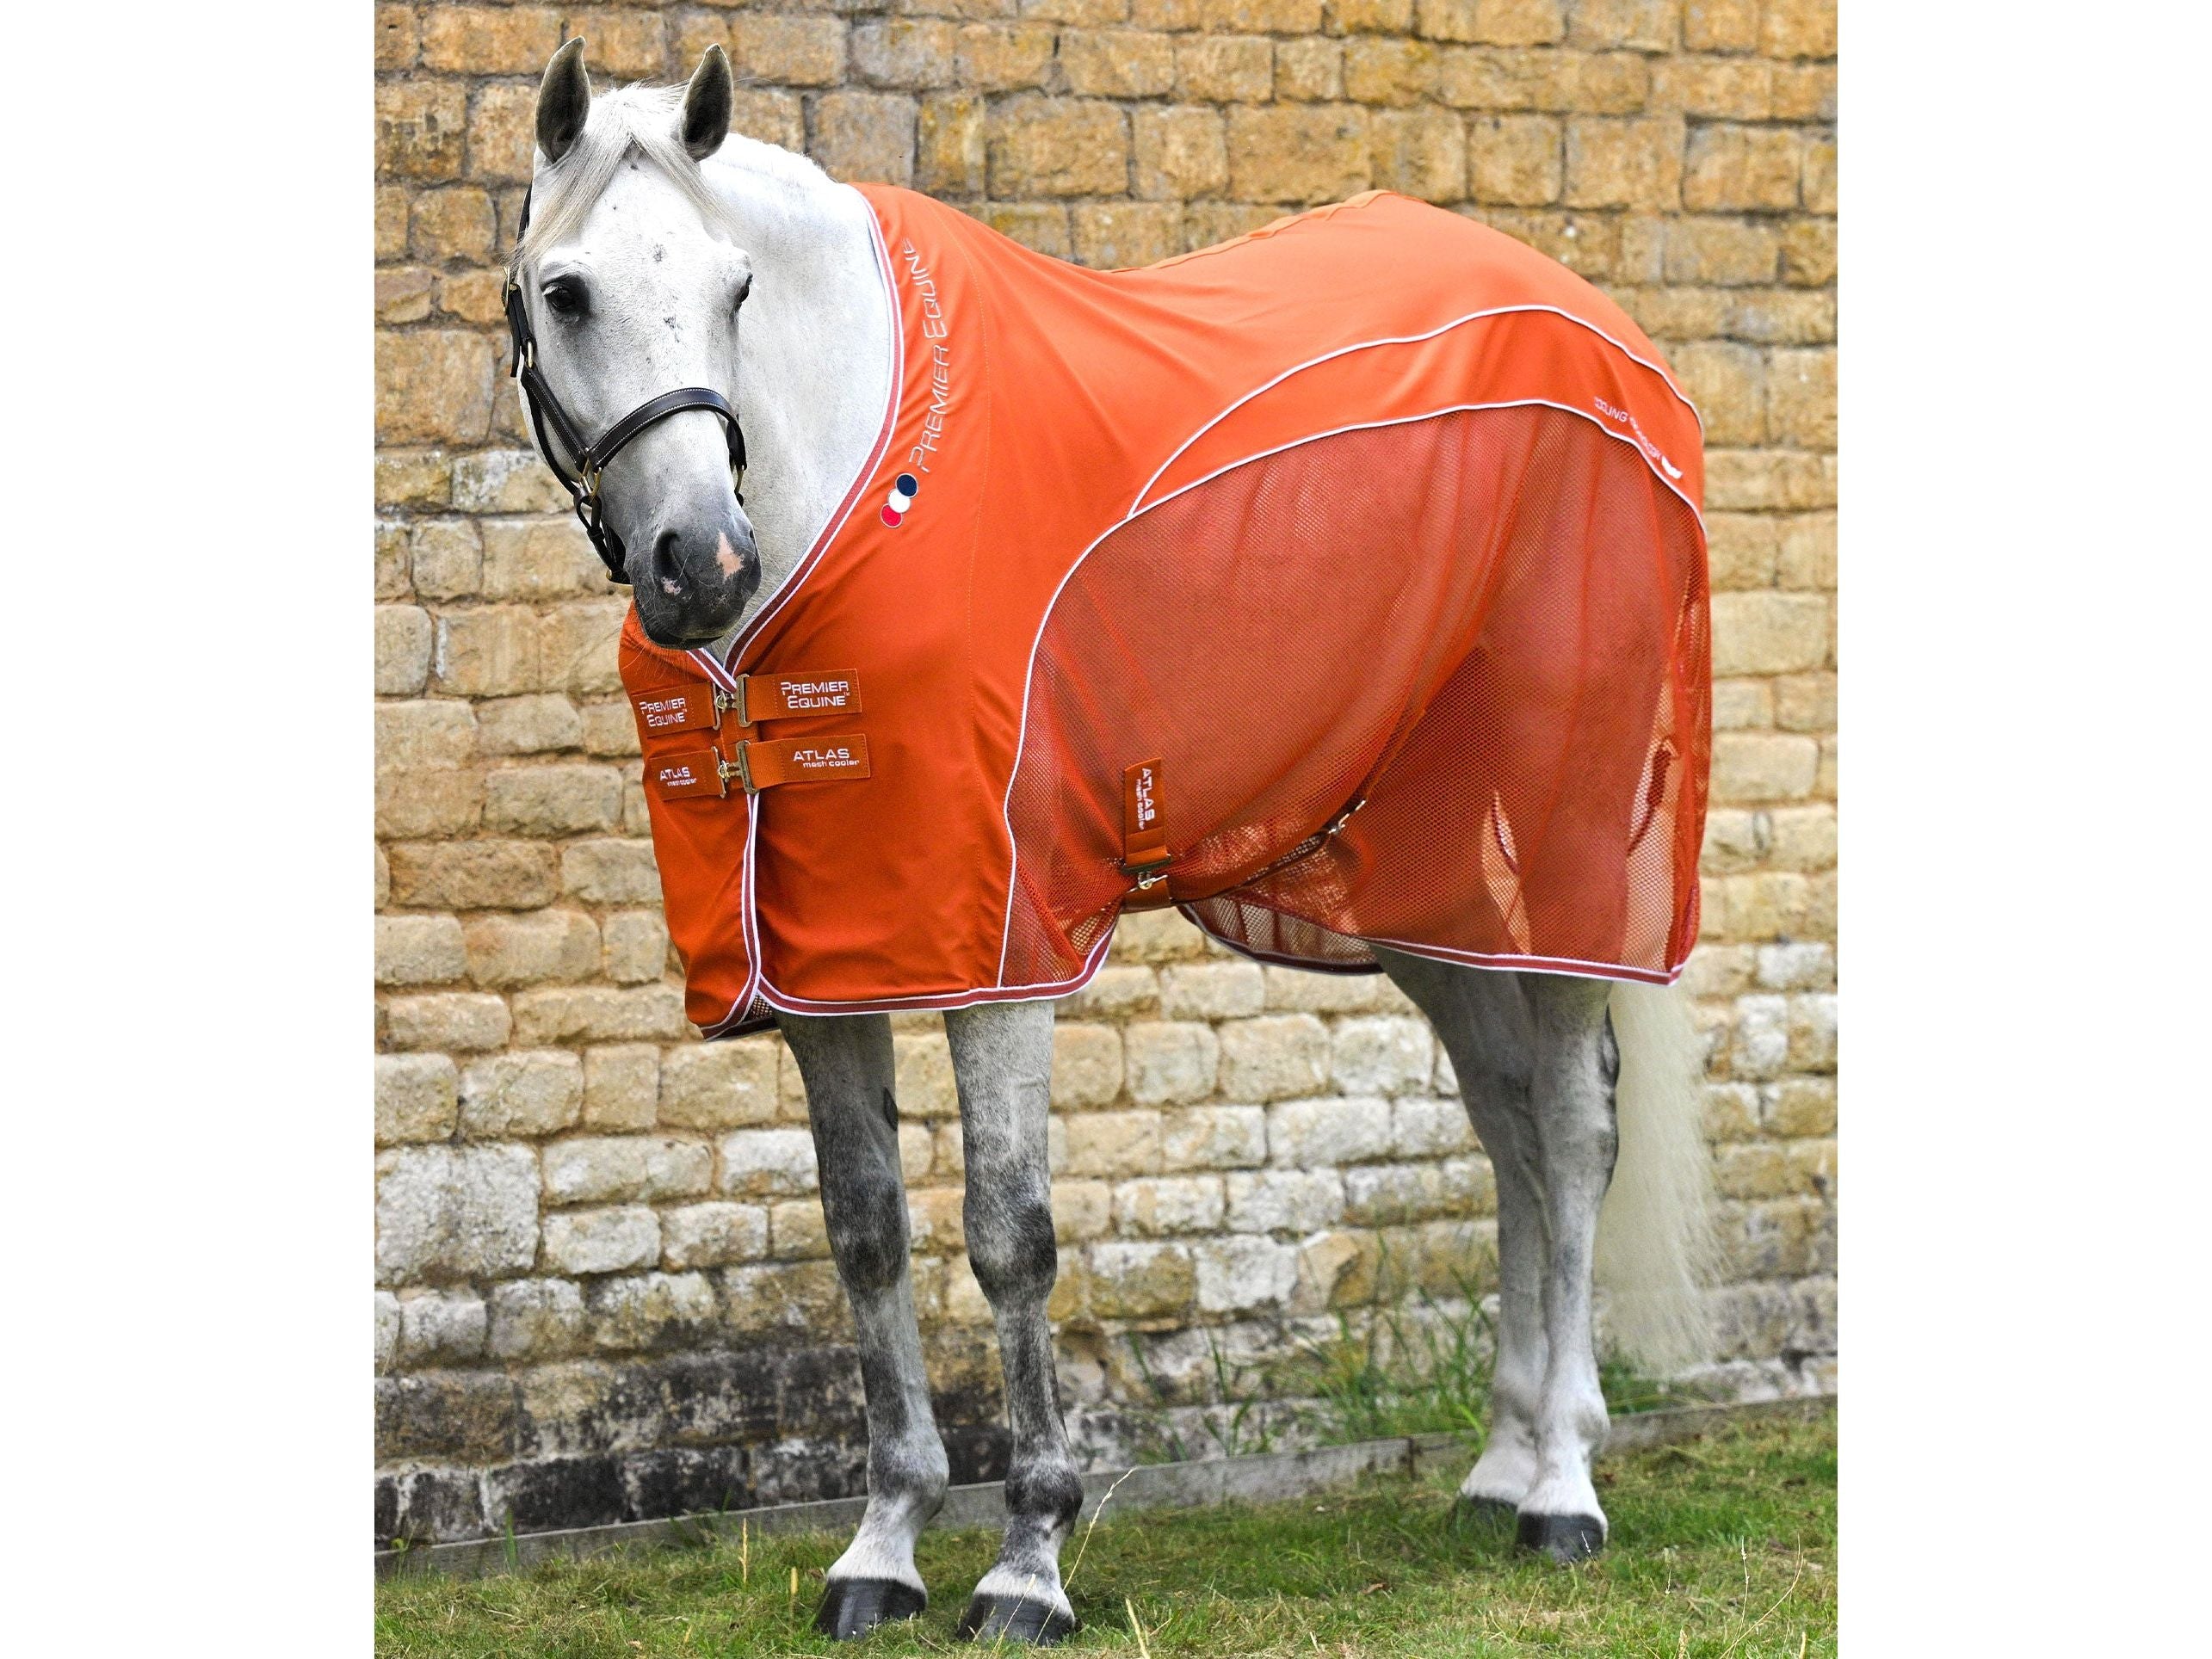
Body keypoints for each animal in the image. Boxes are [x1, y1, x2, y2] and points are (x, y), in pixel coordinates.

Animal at [501, 39, 1717, 1645]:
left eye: (736, 287)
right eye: (566, 289)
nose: (701, 562)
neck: (858, 497)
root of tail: (1607, 336)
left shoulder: (999, 946)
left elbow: (1009, 1236)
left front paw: (1028, 1558)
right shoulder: (824, 965)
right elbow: (865, 1230)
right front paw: (881, 1548)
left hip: (1565, 854)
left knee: (1573, 1134)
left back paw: (1564, 1491)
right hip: (1424, 886)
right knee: (1511, 1124)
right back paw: (1503, 1464)